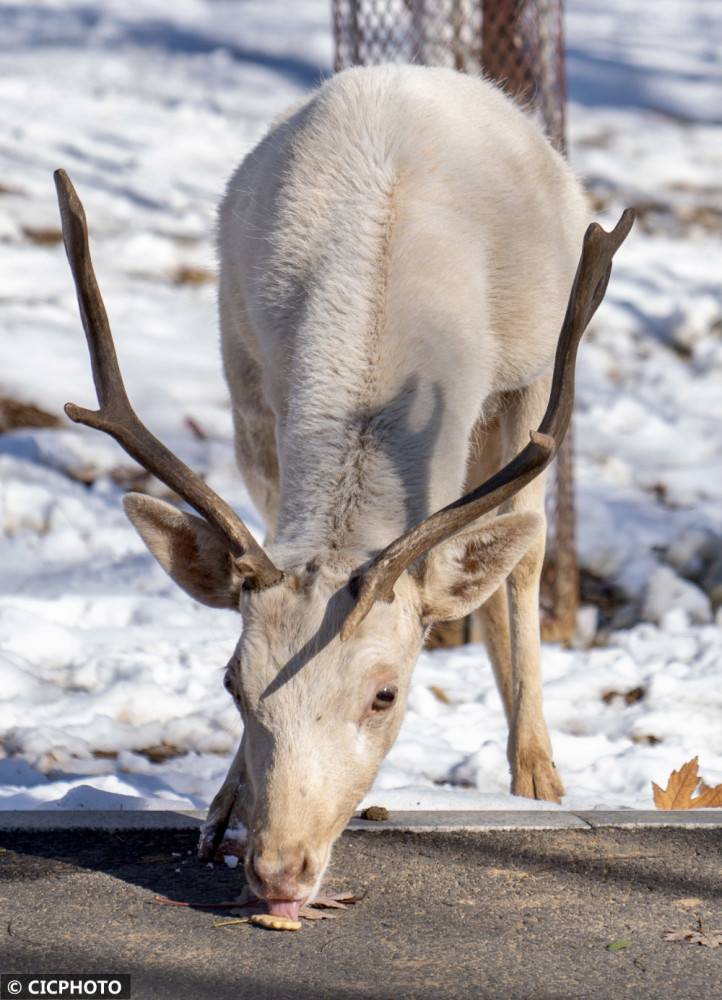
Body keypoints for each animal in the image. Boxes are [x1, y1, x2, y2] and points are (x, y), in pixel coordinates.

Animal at [56, 62, 632, 920]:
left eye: (386, 695)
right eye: (232, 682)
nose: (278, 872)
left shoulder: (532, 377)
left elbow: (518, 563)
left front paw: (539, 780)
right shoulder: (252, 384)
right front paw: (223, 806)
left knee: (515, 561)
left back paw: (533, 771)